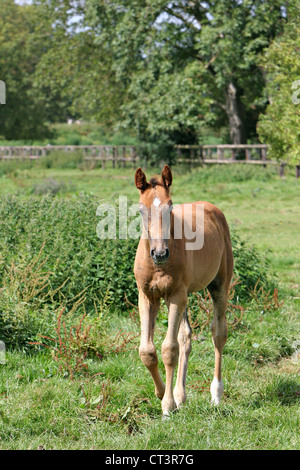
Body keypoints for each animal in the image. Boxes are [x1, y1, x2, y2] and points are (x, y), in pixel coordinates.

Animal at [134, 165, 234, 414]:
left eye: (170, 206)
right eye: (141, 209)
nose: (160, 253)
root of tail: (212, 208)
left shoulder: (175, 296)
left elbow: (169, 350)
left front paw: (167, 406)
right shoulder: (147, 296)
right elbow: (147, 351)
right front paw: (163, 394)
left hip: (219, 285)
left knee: (218, 333)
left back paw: (216, 394)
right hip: (185, 296)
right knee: (185, 337)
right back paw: (181, 395)